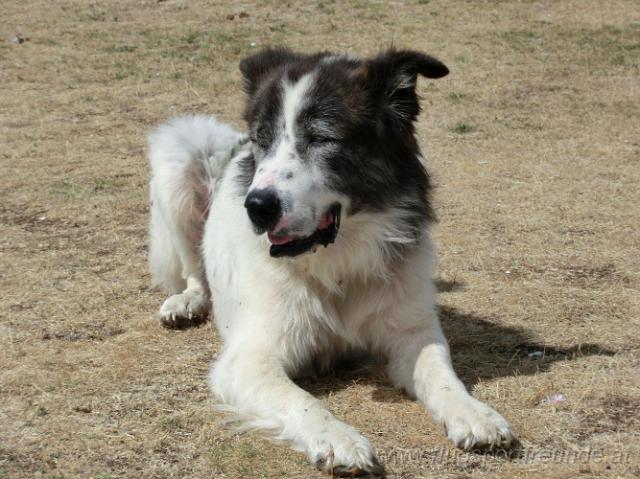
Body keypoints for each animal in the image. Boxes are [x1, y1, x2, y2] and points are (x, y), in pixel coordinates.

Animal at [146, 47, 516, 476]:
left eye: (321, 138)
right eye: (262, 139)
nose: (256, 206)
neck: (336, 260)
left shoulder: (412, 333)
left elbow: (440, 373)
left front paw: (474, 413)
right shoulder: (249, 358)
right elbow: (303, 401)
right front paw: (339, 440)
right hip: (181, 152)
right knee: (194, 269)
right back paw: (186, 301)